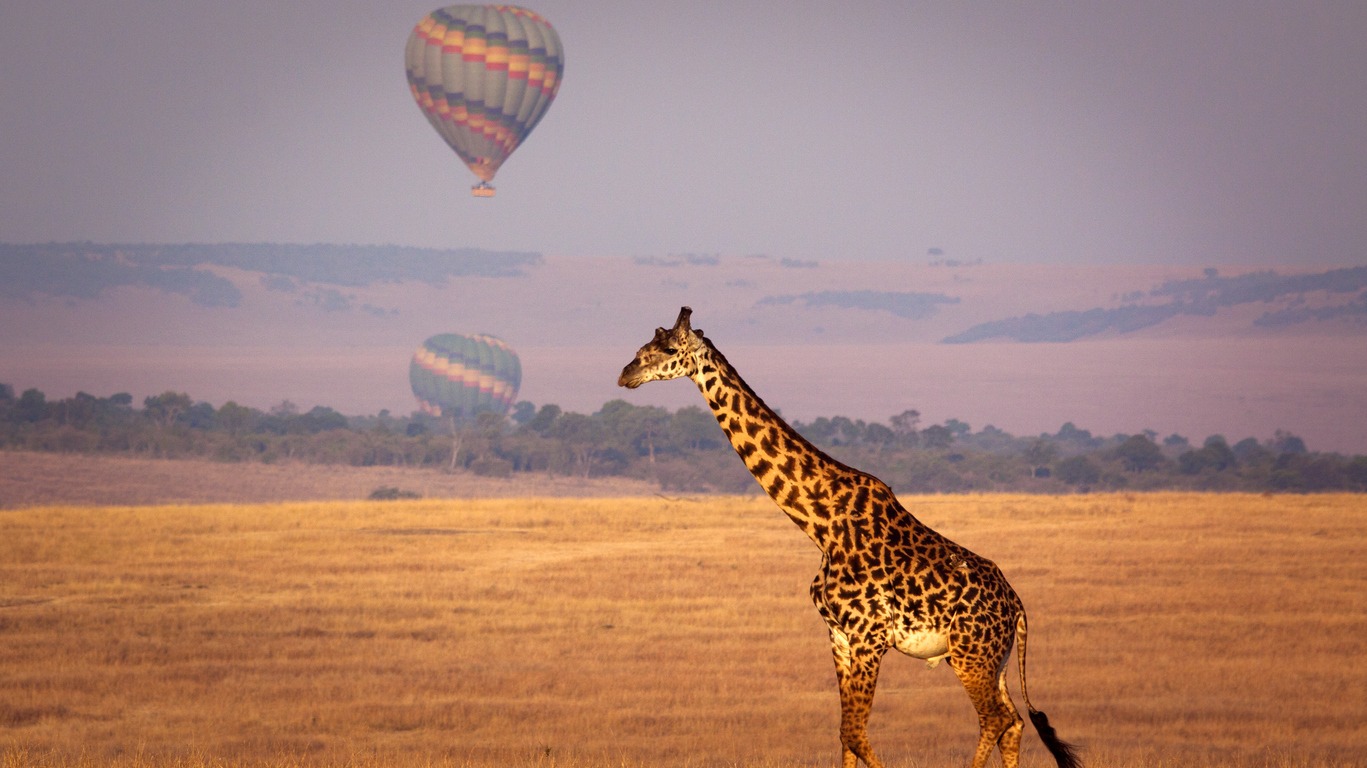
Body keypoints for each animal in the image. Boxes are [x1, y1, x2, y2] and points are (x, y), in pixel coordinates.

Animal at [620, 307, 1077, 765]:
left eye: (668, 348)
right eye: (645, 344)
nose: (626, 373)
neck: (821, 525)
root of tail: (1017, 607)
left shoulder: (868, 636)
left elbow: (855, 733)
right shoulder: (838, 636)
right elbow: (845, 735)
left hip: (972, 654)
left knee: (995, 719)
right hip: (989, 659)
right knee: (1013, 721)